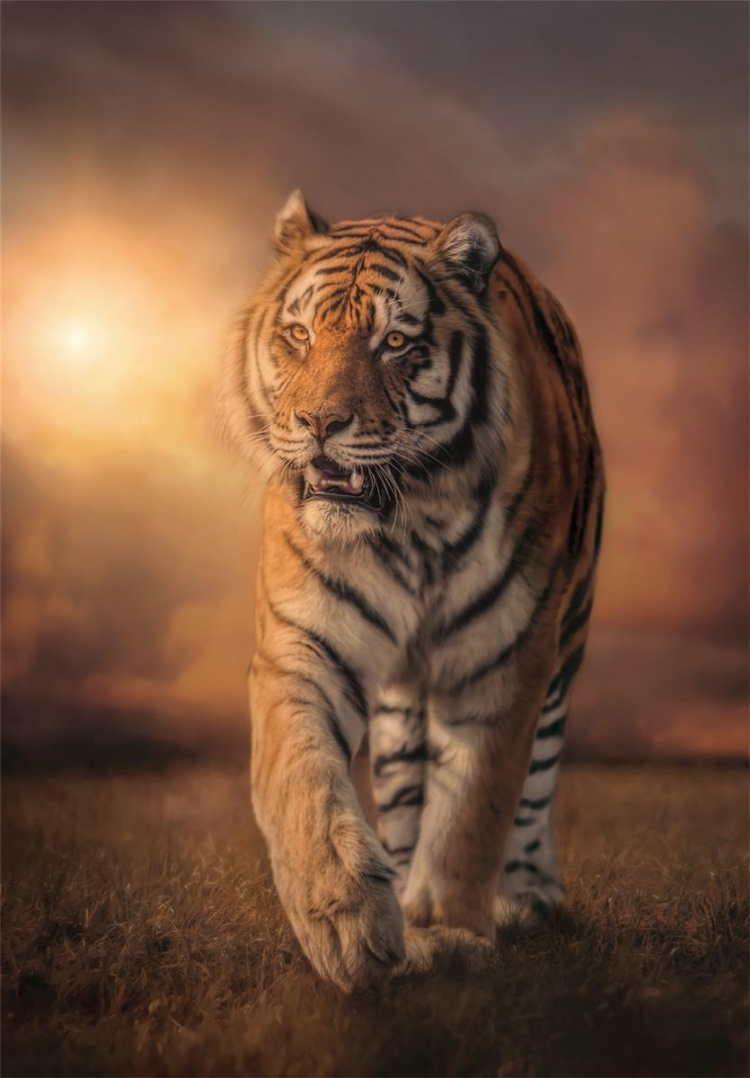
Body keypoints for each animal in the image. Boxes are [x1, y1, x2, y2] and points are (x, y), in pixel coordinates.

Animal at [220, 190, 605, 992]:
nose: (319, 424)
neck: (411, 522)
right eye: (299, 334)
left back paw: (526, 897)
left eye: (394, 341)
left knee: (536, 785)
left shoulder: (503, 661)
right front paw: (346, 922)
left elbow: (473, 810)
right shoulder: (301, 646)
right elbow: (301, 779)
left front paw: (449, 932)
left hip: (566, 646)